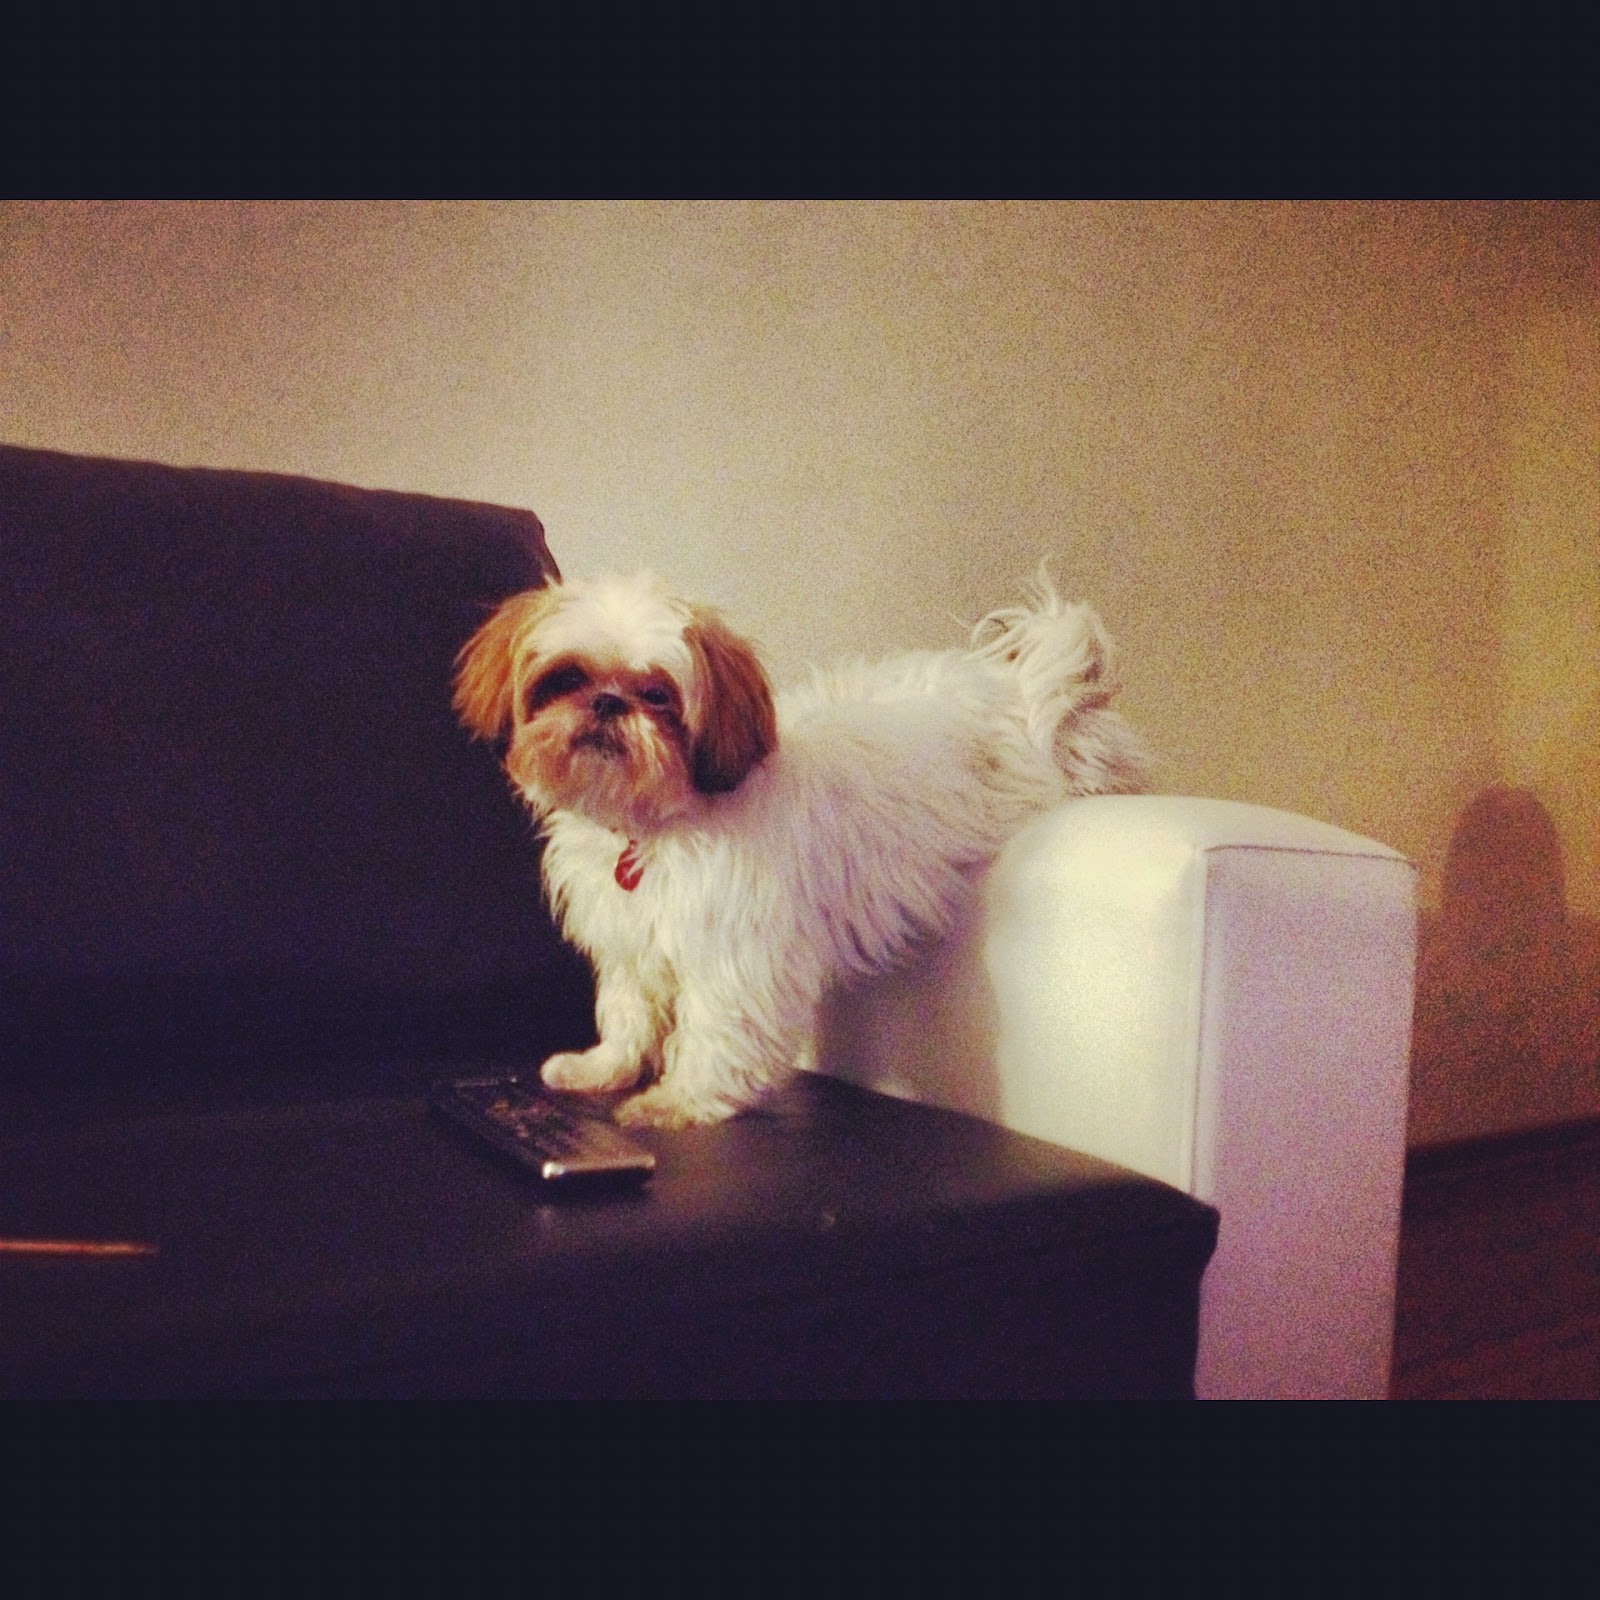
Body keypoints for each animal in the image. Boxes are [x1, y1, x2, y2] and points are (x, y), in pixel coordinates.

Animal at [453, 569, 1149, 1127]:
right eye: (566, 678)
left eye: (657, 695)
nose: (606, 701)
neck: (654, 825)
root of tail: (1021, 690)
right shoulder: (630, 940)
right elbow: (626, 1012)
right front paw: (605, 1069)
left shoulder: (734, 950)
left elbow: (716, 1029)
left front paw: (681, 1100)